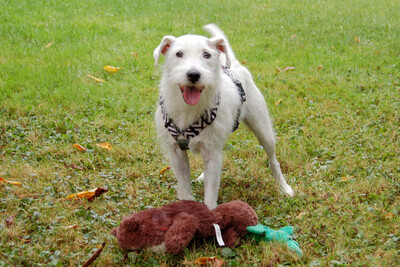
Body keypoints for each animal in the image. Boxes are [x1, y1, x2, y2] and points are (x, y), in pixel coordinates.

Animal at [153, 24, 294, 210]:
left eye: (207, 54)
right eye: (179, 54)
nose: (193, 74)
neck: (189, 109)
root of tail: (234, 65)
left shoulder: (212, 152)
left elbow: (210, 195)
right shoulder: (177, 154)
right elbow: (185, 189)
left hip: (263, 130)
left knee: (273, 161)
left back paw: (284, 188)